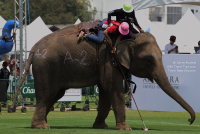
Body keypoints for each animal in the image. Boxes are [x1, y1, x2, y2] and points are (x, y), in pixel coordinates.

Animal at [11, 24, 195, 130]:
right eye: (148, 59)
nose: (189, 120)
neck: (125, 37)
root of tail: (35, 47)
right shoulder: (109, 59)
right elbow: (114, 89)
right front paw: (125, 128)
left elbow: (106, 92)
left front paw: (101, 127)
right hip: (46, 67)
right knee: (47, 95)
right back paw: (41, 126)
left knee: (54, 95)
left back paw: (41, 124)